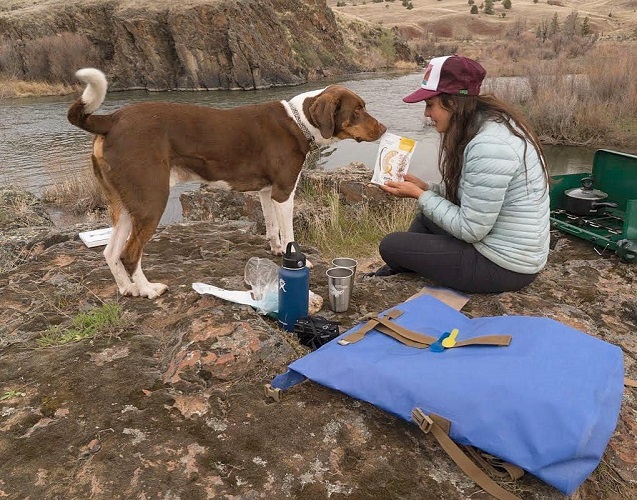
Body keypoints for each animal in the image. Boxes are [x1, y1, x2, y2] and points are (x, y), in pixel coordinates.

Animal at [68, 68, 388, 298]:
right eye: (357, 110)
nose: (384, 128)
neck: (299, 122)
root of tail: (111, 119)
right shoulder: (284, 192)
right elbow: (289, 233)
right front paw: (301, 260)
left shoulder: (267, 192)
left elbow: (272, 227)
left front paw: (275, 251)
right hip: (151, 200)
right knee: (129, 253)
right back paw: (148, 290)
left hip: (125, 203)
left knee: (110, 251)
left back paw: (128, 288)